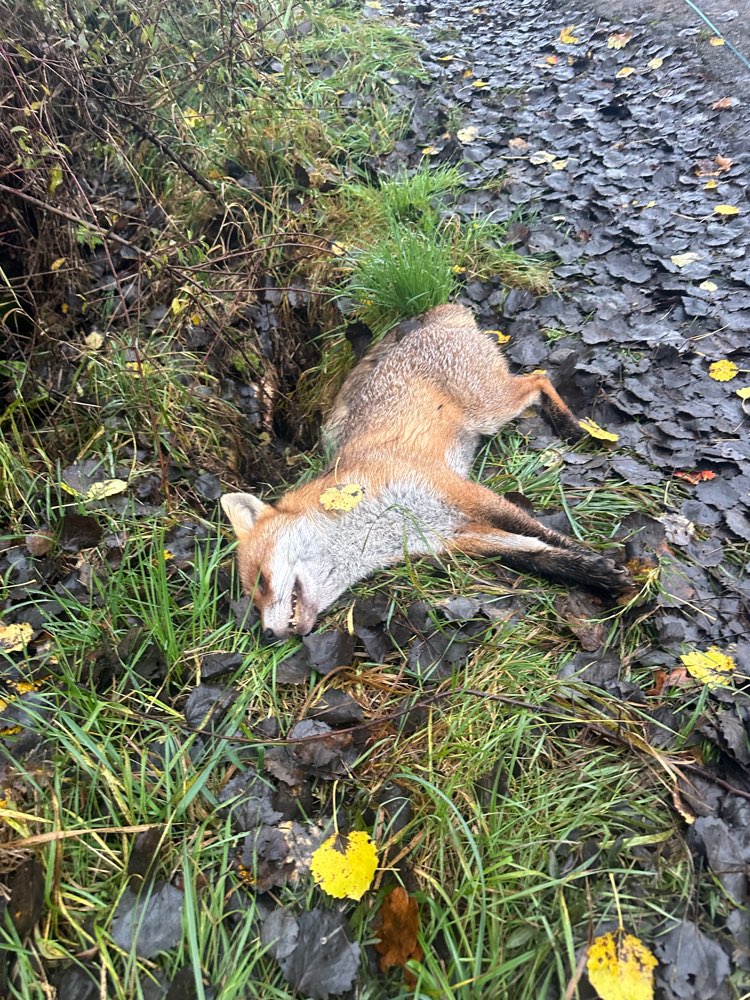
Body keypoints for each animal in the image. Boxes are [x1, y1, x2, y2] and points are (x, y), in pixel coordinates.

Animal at [220, 300, 632, 640]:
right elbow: (535, 554)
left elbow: (540, 532)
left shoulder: (459, 491)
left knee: (539, 377)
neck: (377, 526)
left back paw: (571, 428)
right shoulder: (453, 536)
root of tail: (438, 315)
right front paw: (593, 574)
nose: (267, 636)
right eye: (253, 601)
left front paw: (599, 560)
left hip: (492, 409)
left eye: (261, 583)